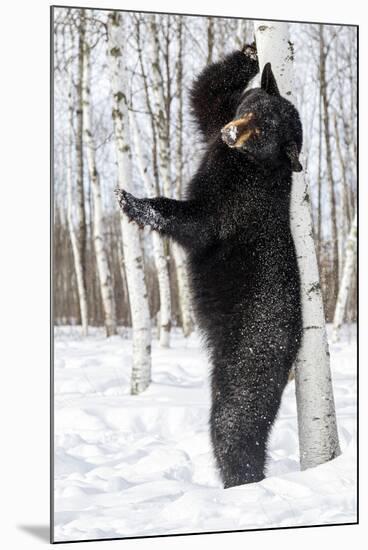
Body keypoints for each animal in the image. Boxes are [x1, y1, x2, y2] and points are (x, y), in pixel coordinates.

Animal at [116, 45, 304, 490]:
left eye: (264, 134)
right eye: (250, 110)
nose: (232, 134)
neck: (245, 164)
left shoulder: (238, 202)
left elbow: (198, 223)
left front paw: (133, 202)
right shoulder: (216, 128)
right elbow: (205, 98)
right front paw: (250, 53)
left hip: (252, 353)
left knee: (235, 421)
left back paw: (242, 483)